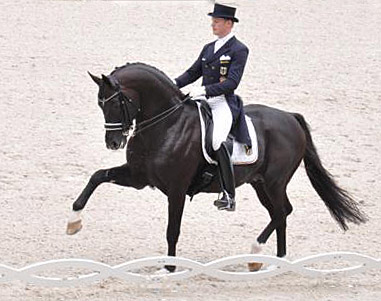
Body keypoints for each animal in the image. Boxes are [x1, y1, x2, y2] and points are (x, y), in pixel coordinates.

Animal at [66, 62, 366, 270]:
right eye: (100, 104)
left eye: (119, 101)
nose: (113, 142)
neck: (166, 125)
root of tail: (291, 118)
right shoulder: (139, 178)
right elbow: (97, 177)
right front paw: (73, 222)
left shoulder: (176, 189)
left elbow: (172, 229)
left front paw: (169, 268)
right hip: (260, 184)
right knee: (281, 212)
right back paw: (267, 259)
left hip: (274, 182)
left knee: (281, 213)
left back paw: (265, 257)